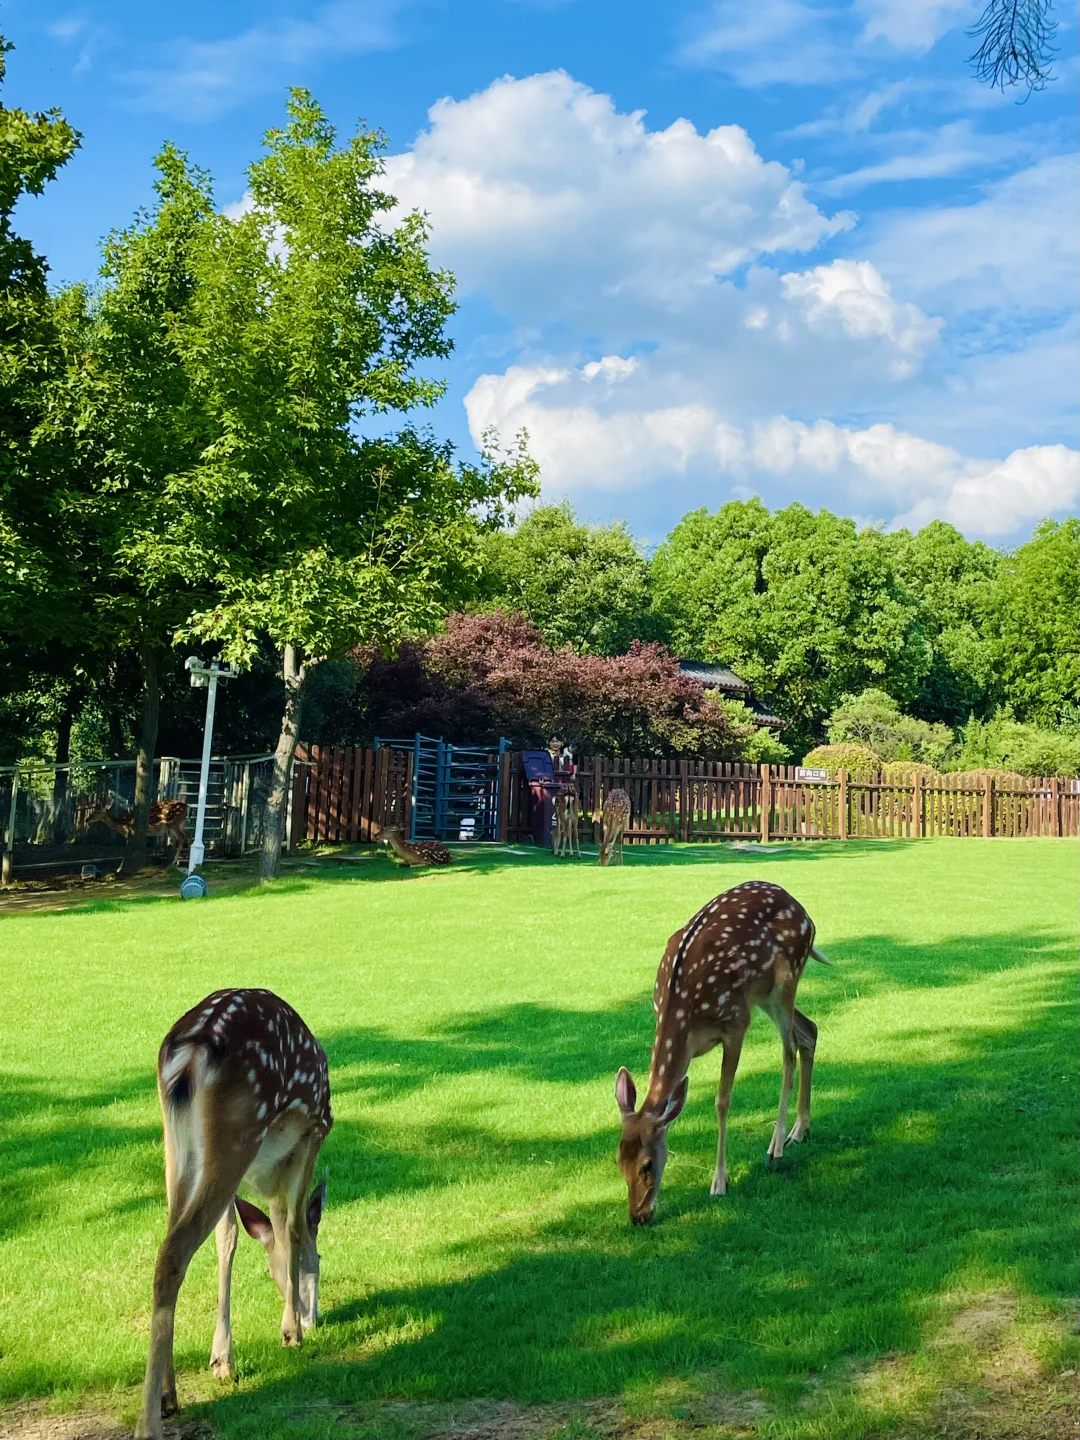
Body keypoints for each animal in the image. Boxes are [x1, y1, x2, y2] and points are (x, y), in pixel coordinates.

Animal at [135, 989, 332, 1440]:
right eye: (323, 1258)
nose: (315, 1318)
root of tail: (190, 1051)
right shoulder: (314, 1130)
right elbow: (294, 1227)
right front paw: (291, 1331)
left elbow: (230, 1239)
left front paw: (223, 1357)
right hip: (240, 1128)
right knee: (174, 1252)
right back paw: (149, 1421)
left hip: (178, 1148)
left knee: (173, 1241)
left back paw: (169, 1393)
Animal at [614, 880, 827, 1225]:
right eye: (618, 1161)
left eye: (648, 1164)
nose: (638, 1217)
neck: (683, 1019)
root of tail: (805, 913)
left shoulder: (735, 1024)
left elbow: (722, 1101)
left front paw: (719, 1183)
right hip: (764, 997)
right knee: (808, 1032)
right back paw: (799, 1131)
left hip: (786, 979)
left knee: (788, 1053)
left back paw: (776, 1148)